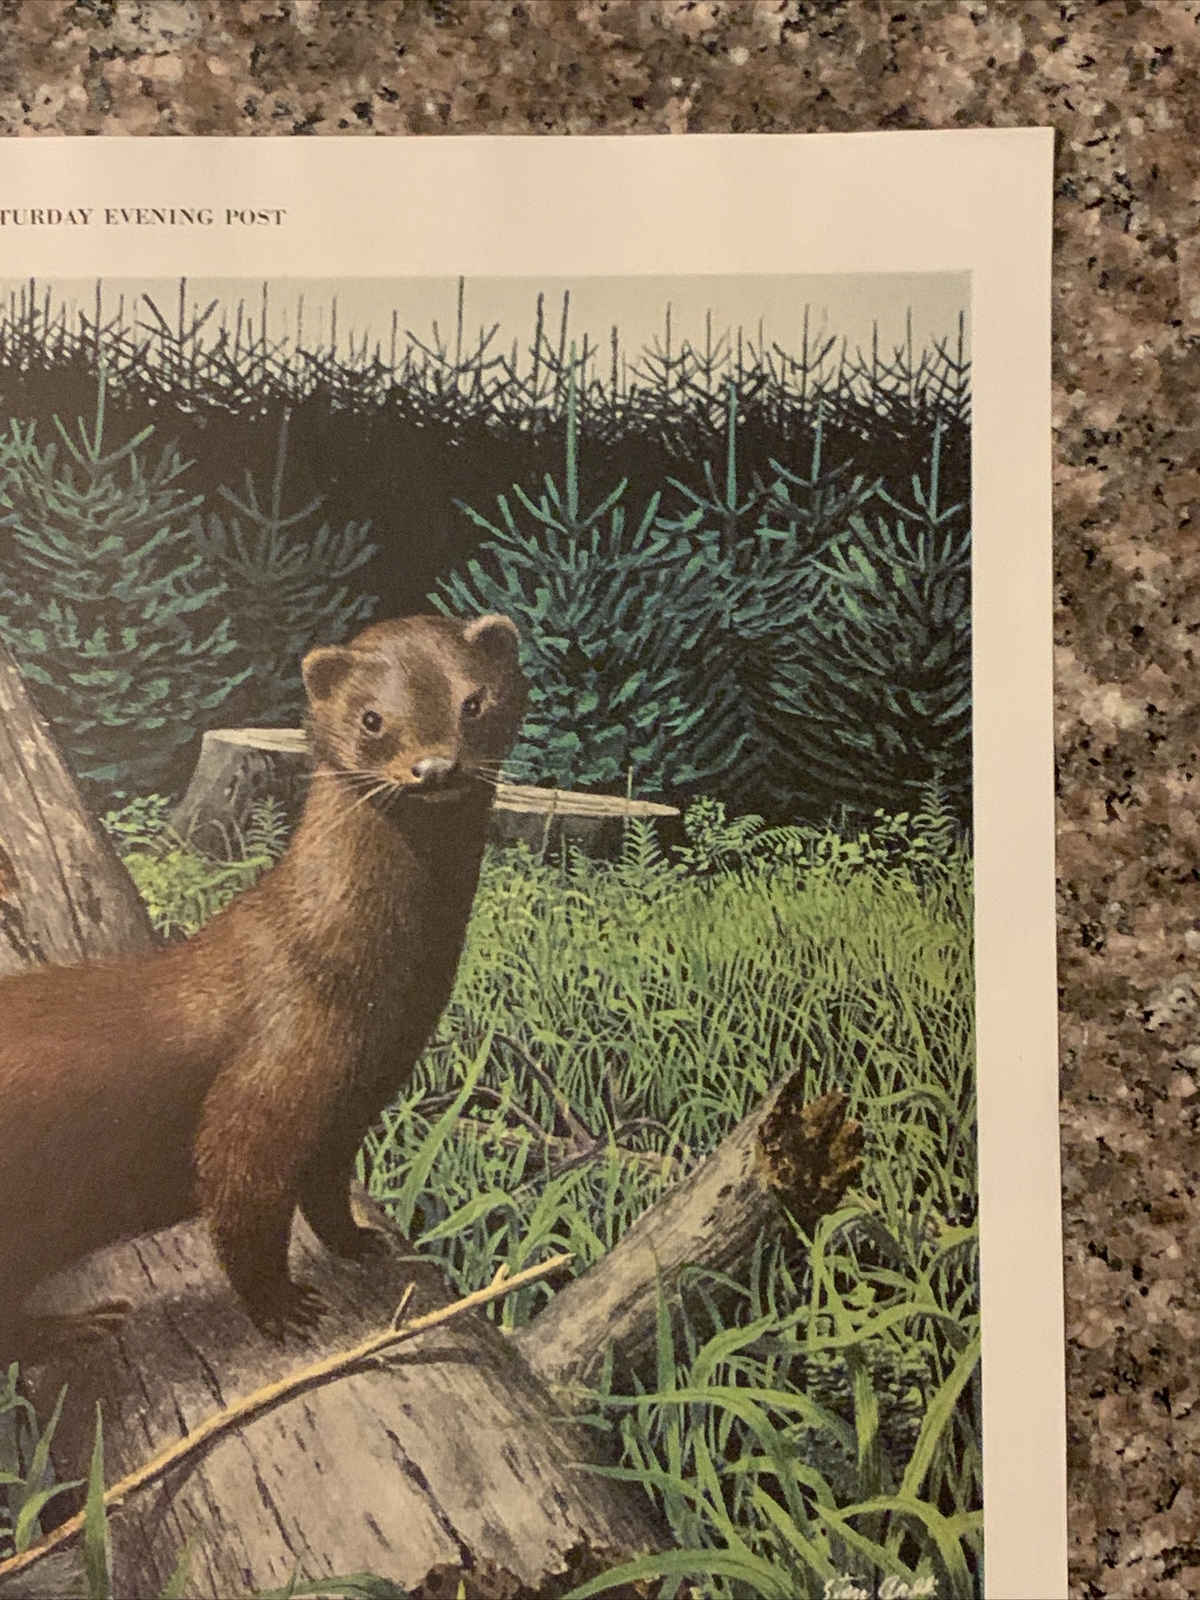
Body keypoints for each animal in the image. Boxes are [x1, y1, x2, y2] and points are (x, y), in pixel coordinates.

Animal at [0, 613, 526, 1350]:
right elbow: (243, 1209)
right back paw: (77, 1326)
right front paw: (282, 1307)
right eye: (372, 718)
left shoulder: (354, 1102)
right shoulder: (265, 1093)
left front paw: (359, 1242)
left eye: (473, 701)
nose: (433, 767)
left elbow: (326, 1192)